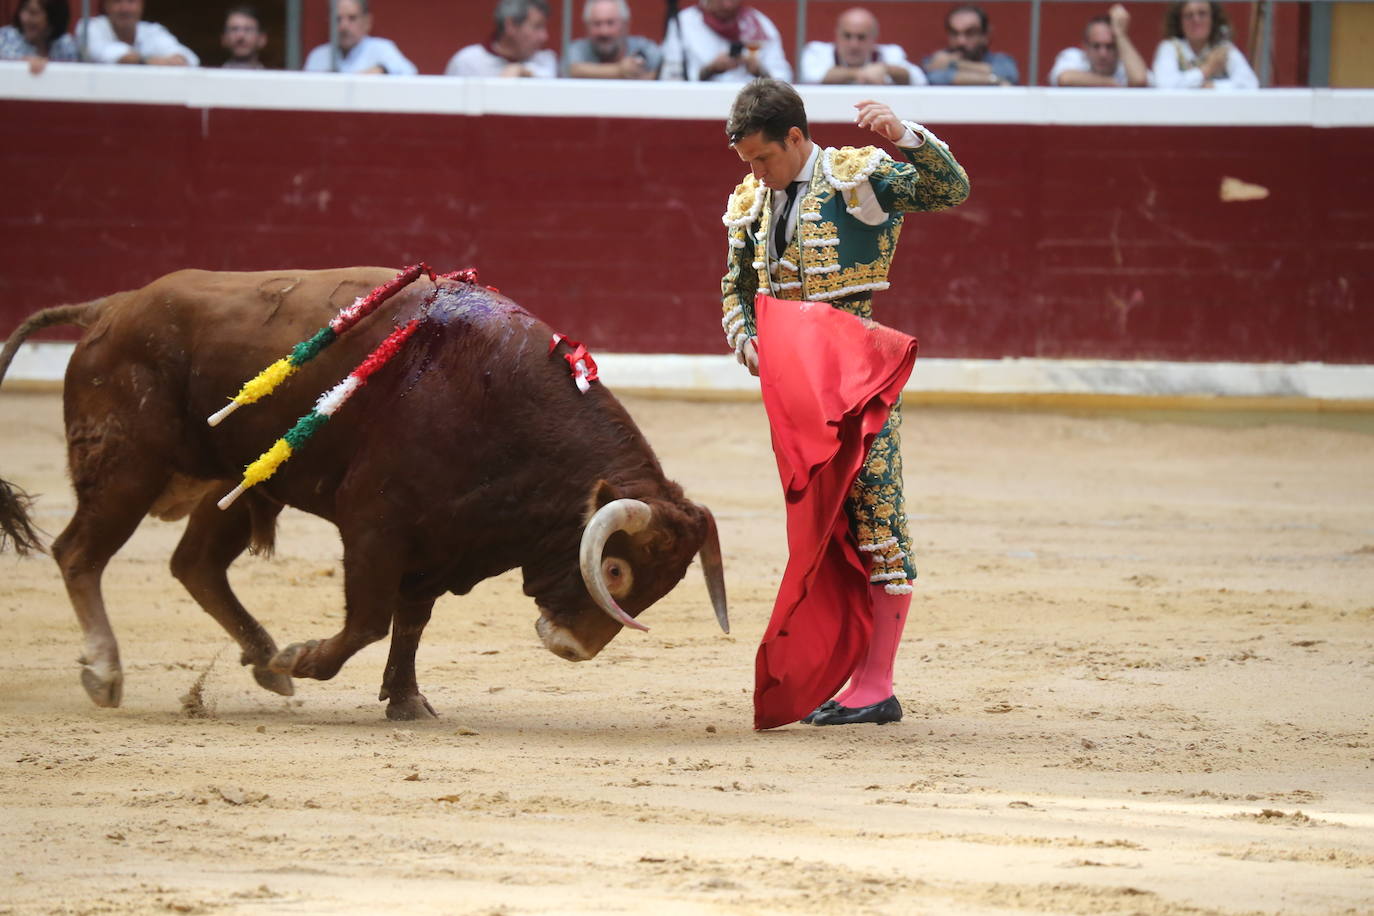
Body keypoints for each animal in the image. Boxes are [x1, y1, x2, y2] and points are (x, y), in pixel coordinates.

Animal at [0, 260, 730, 719]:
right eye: (615, 569)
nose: (572, 649)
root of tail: (111, 305)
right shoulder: (375, 524)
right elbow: (369, 620)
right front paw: (305, 659)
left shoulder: (442, 541)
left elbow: (410, 623)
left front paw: (405, 702)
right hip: (127, 467)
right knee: (79, 554)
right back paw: (108, 672)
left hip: (232, 479)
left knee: (195, 563)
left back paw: (263, 660)